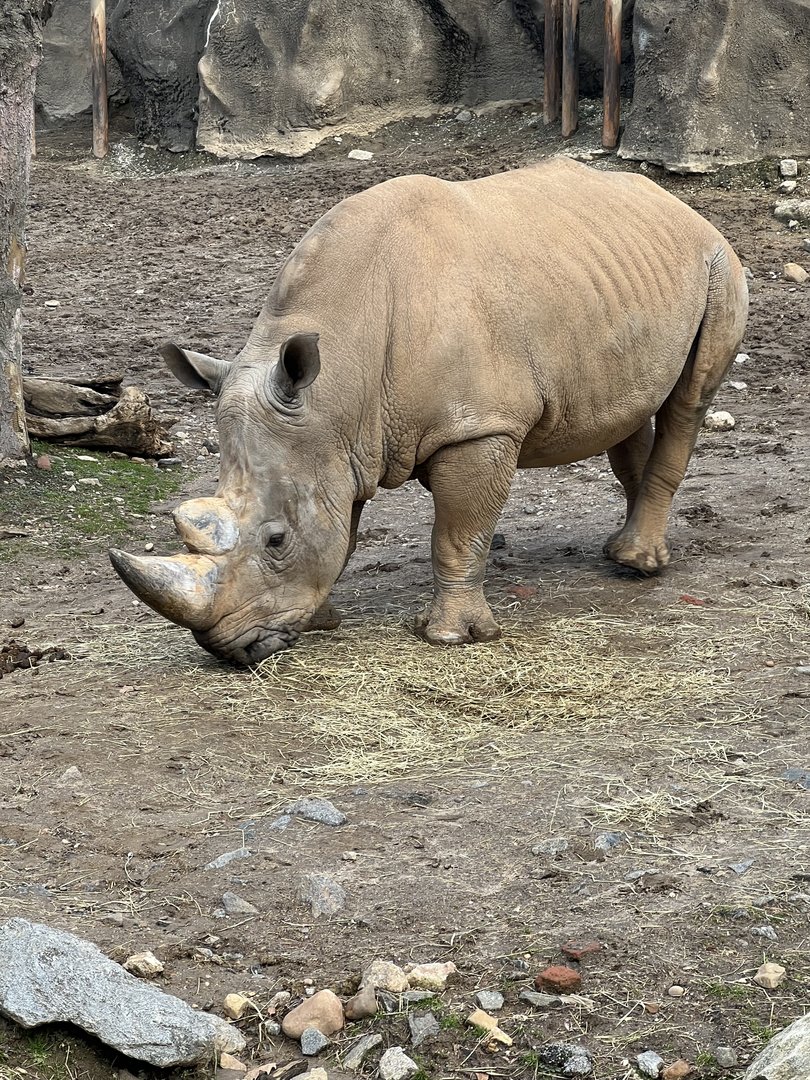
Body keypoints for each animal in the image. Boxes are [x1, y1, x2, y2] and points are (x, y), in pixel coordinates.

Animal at [110, 159, 748, 664]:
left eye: (275, 540)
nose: (229, 649)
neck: (338, 382)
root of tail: (676, 204)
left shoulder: (477, 427)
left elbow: (459, 530)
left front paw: (450, 637)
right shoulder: (339, 441)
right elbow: (344, 529)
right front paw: (320, 620)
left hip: (718, 262)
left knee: (689, 400)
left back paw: (639, 563)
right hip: (619, 274)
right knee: (632, 406)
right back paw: (626, 551)